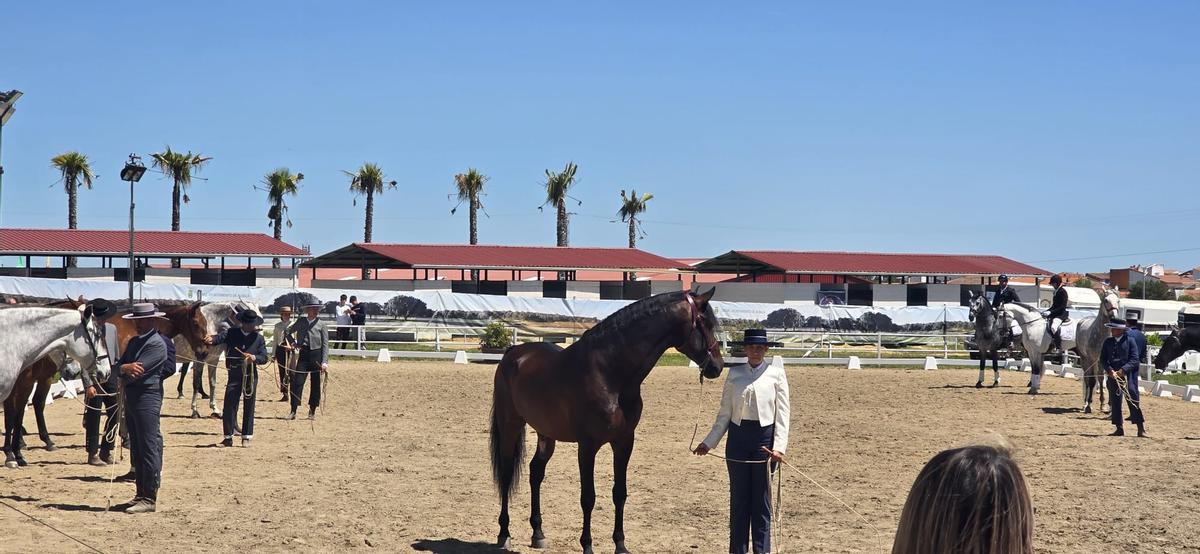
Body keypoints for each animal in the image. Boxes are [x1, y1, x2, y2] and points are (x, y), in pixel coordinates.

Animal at [0, 306, 112, 468]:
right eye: (97, 334)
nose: (107, 371)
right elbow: (11, 415)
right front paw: (10, 455)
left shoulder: (27, 384)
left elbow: (20, 413)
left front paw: (18, 454)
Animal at [489, 289, 724, 554]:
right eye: (705, 323)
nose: (717, 366)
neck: (609, 374)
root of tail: (513, 353)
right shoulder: (587, 446)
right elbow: (588, 497)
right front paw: (587, 545)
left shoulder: (624, 442)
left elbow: (619, 493)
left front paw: (620, 544)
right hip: (510, 425)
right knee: (506, 474)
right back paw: (504, 533)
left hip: (545, 433)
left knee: (535, 472)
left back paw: (538, 533)